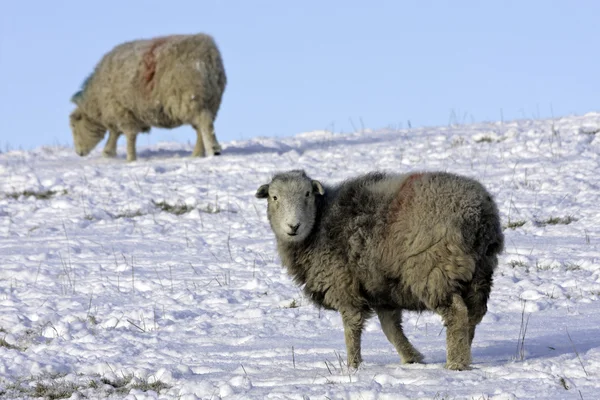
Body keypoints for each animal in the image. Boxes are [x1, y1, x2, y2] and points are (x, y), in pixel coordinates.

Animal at [68, 32, 227, 161]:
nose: (79, 153)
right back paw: (197, 154)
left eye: (74, 126)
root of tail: (207, 53)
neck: (96, 100)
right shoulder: (121, 113)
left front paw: (130, 159)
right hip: (211, 100)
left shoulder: (122, 111)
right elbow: (115, 133)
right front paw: (109, 153)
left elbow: (128, 135)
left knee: (204, 123)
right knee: (201, 126)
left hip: (189, 97)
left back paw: (213, 150)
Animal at [255, 169, 504, 368]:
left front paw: (352, 366)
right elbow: (391, 329)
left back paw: (455, 363)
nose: (293, 226)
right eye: (274, 197)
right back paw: (465, 353)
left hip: (434, 271)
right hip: (480, 271)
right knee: (474, 314)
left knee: (457, 313)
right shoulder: (381, 290)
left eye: (307, 194)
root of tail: (477, 212)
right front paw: (411, 358)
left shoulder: (344, 286)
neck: (318, 226)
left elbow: (352, 328)